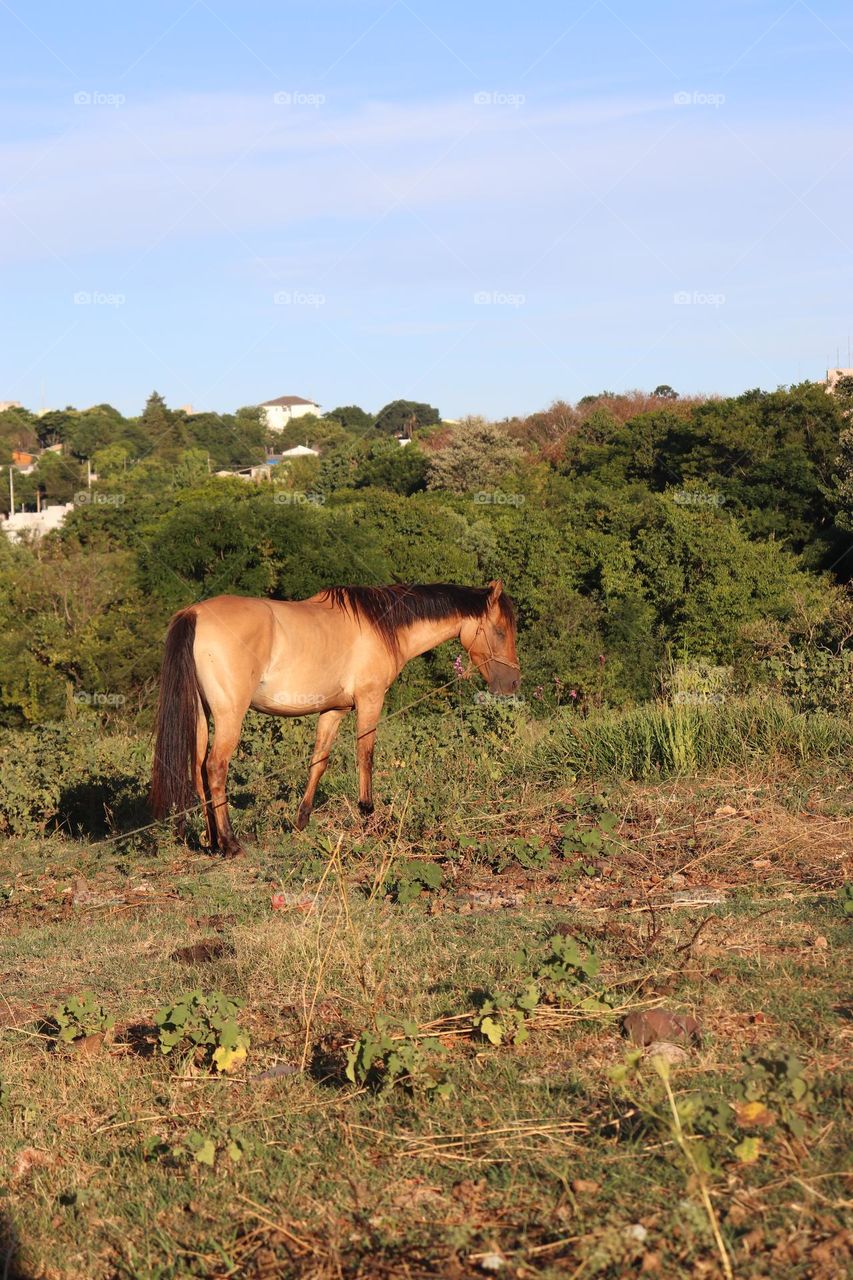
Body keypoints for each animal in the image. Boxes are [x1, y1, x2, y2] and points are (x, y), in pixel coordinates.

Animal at [150, 581, 520, 855]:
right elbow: (366, 757)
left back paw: (213, 841)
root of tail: (195, 613)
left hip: (202, 714)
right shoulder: (370, 701)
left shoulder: (333, 711)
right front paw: (369, 815)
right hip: (230, 716)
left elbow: (319, 762)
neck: (380, 625)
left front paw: (300, 822)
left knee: (199, 769)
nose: (513, 683)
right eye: (500, 631)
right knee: (215, 767)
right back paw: (230, 843)